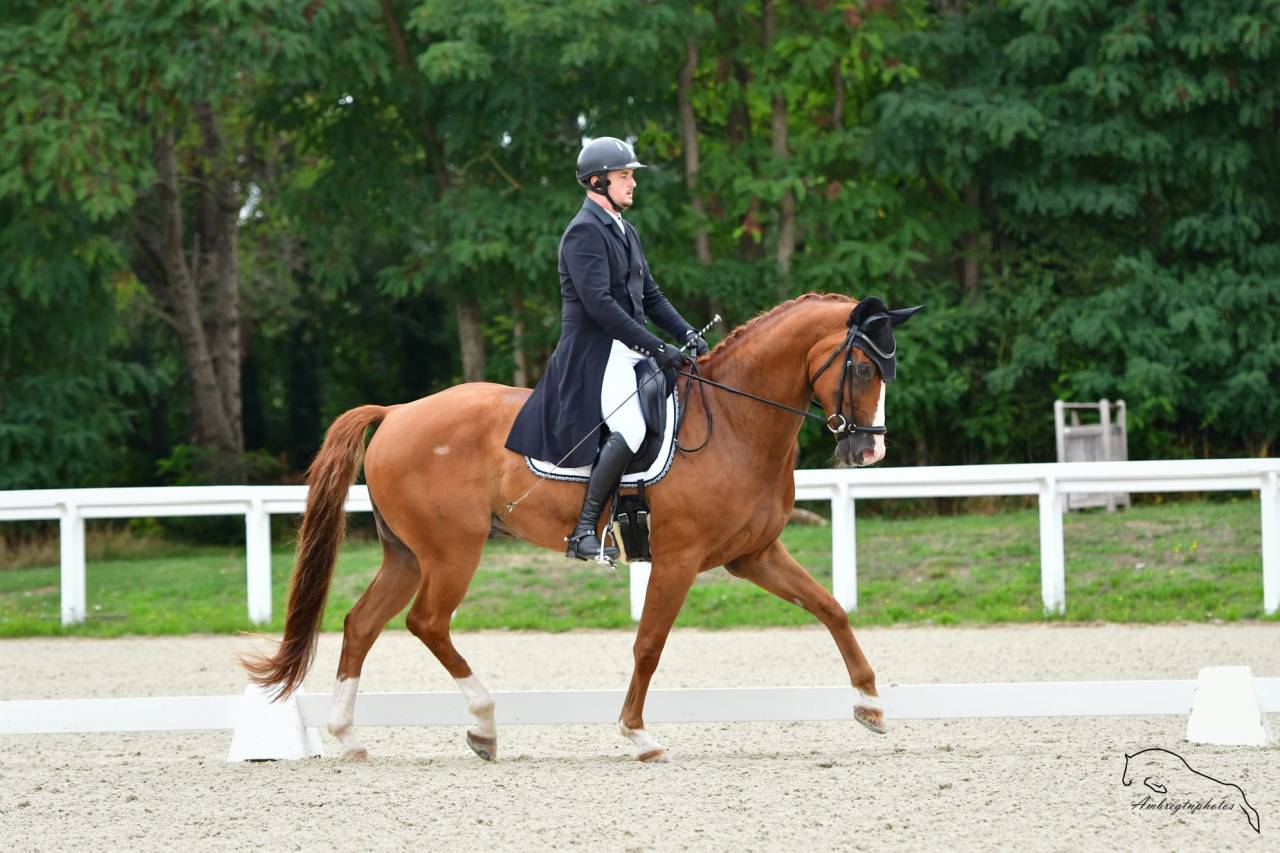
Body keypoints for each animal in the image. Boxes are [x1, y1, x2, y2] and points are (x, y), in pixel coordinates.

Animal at [243, 292, 921, 763]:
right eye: (864, 369)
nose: (869, 453)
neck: (734, 421)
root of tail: (397, 411)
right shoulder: (679, 559)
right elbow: (649, 645)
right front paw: (637, 735)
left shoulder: (753, 554)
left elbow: (830, 607)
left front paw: (870, 704)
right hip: (451, 552)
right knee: (426, 623)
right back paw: (483, 724)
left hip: (407, 555)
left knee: (362, 624)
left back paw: (348, 736)